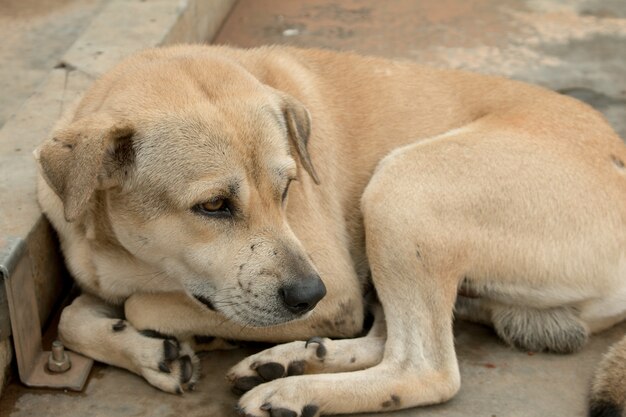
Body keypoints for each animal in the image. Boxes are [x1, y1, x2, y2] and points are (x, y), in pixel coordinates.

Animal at [35, 44, 624, 414]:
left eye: (288, 188)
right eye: (214, 205)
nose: (307, 294)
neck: (121, 249)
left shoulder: (338, 287)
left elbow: (139, 305)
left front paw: (176, 332)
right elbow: (71, 317)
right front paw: (150, 354)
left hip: (401, 188)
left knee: (424, 367)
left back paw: (296, 392)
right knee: (386, 336)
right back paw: (293, 361)